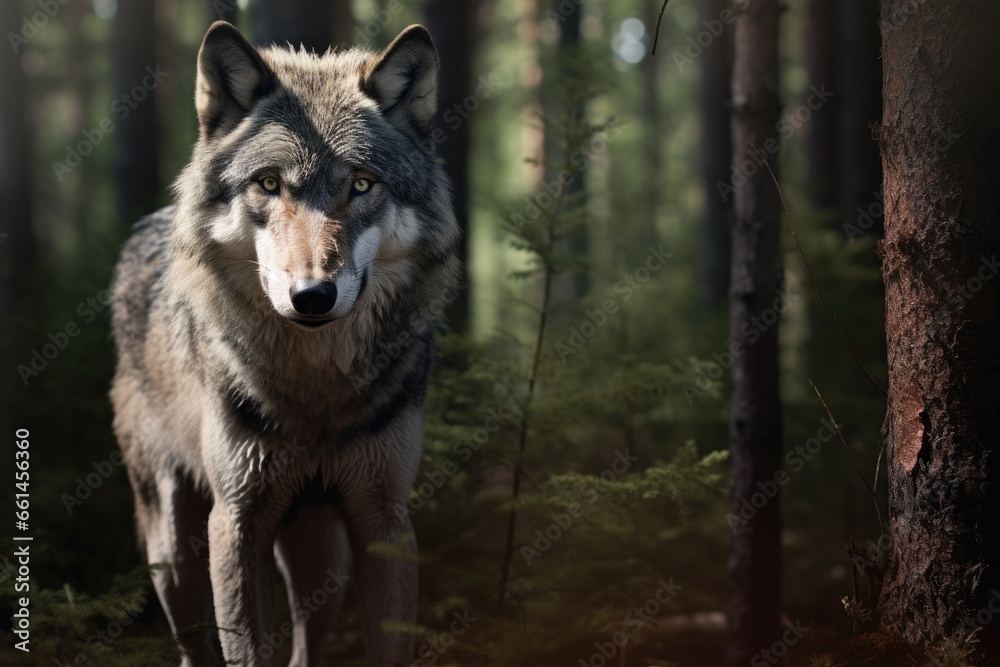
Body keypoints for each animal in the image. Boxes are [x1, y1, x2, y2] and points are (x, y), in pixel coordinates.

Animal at [109, 21, 460, 667]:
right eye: (269, 184)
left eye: (362, 184)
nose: (313, 296)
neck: (314, 392)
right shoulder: (237, 520)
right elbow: (246, 651)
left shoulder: (385, 517)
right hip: (174, 553)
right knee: (195, 645)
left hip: (322, 558)